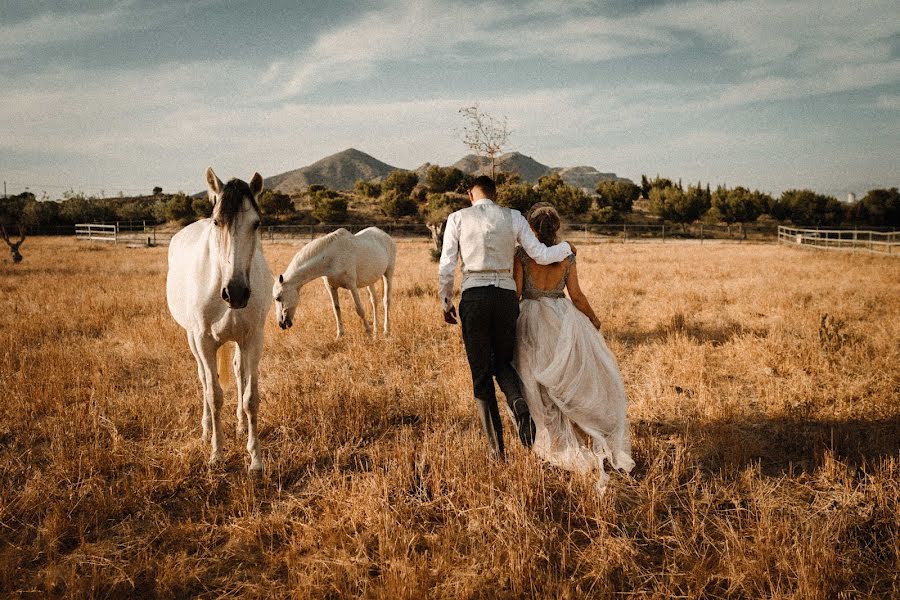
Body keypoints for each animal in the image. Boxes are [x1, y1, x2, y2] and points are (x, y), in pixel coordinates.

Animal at [164, 166, 270, 472]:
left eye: (256, 224)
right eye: (217, 222)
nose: (235, 293)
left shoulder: (253, 338)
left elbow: (250, 397)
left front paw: (255, 460)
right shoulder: (204, 341)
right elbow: (214, 395)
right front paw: (217, 454)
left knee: (238, 372)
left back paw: (240, 426)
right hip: (192, 338)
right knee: (203, 379)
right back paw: (206, 430)